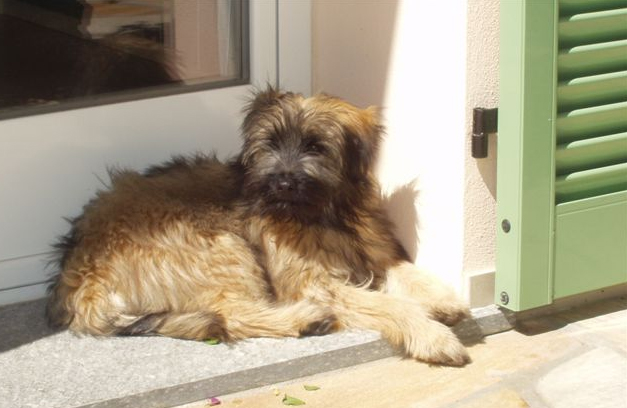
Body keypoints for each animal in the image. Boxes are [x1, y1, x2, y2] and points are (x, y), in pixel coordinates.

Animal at [46, 88, 471, 366]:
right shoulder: (313, 282)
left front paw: (444, 300)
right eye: (270, 143)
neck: (323, 213)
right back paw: (305, 319)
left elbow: (405, 271)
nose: (281, 181)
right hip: (220, 246)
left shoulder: (375, 250)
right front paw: (431, 334)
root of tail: (81, 277)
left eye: (315, 147)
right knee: (231, 312)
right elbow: (388, 303)